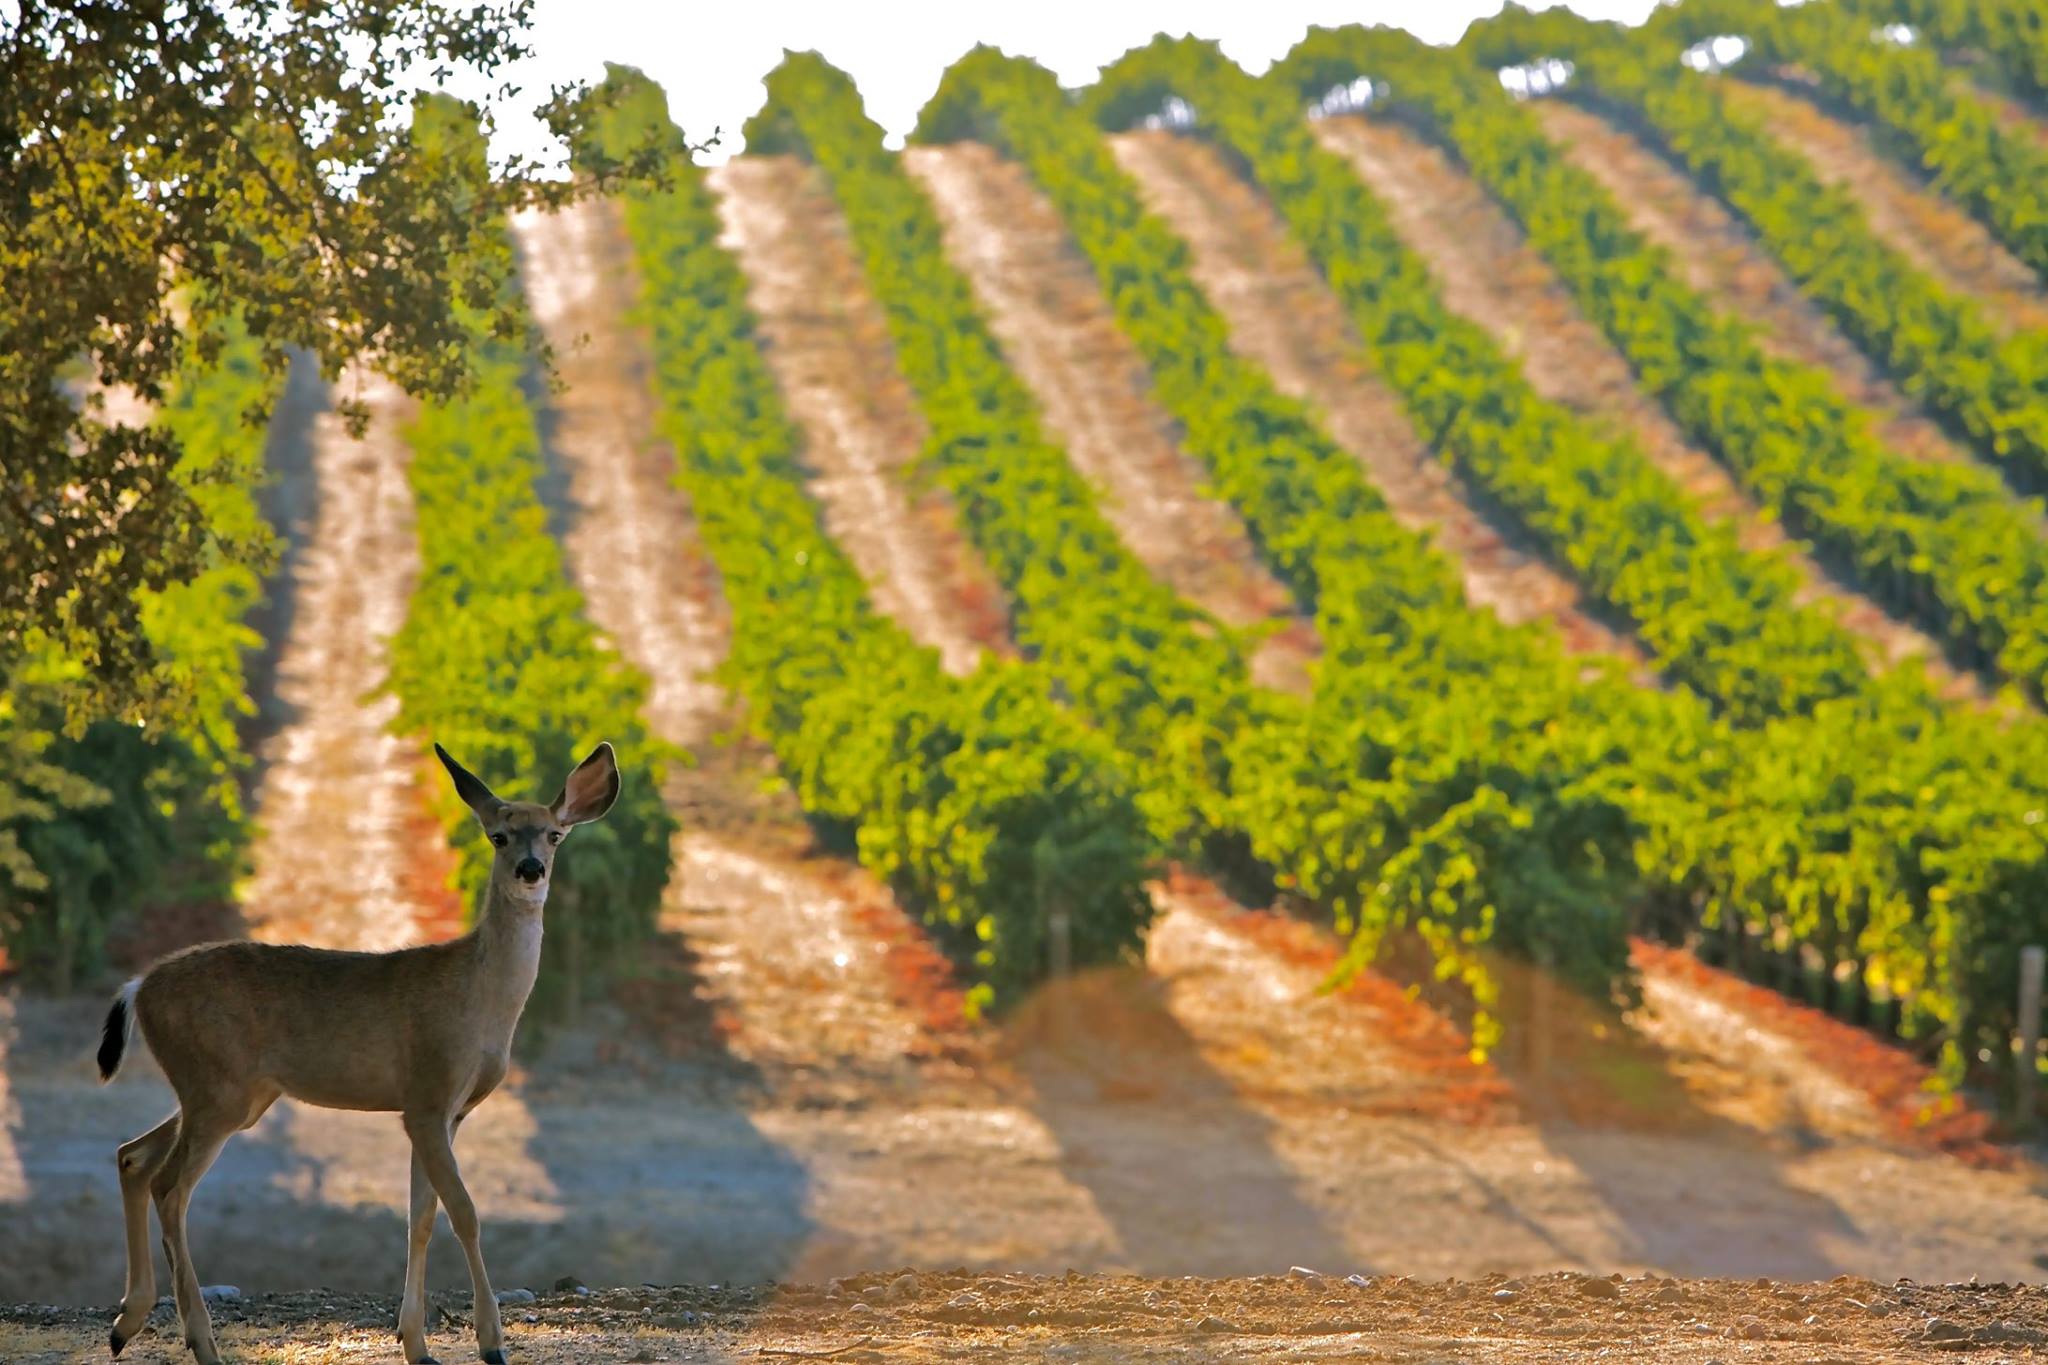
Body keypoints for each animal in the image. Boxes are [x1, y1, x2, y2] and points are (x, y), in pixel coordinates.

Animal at [96, 740, 618, 1365]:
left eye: (554, 835)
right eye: (498, 835)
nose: (530, 869)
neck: (482, 1001)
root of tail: (137, 988)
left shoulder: (445, 1112)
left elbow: (422, 1216)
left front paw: (416, 1342)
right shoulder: (427, 1094)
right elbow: (465, 1212)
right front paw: (491, 1342)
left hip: (229, 1093)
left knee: (133, 1156)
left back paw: (126, 1322)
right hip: (217, 1087)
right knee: (170, 1187)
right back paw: (201, 1341)